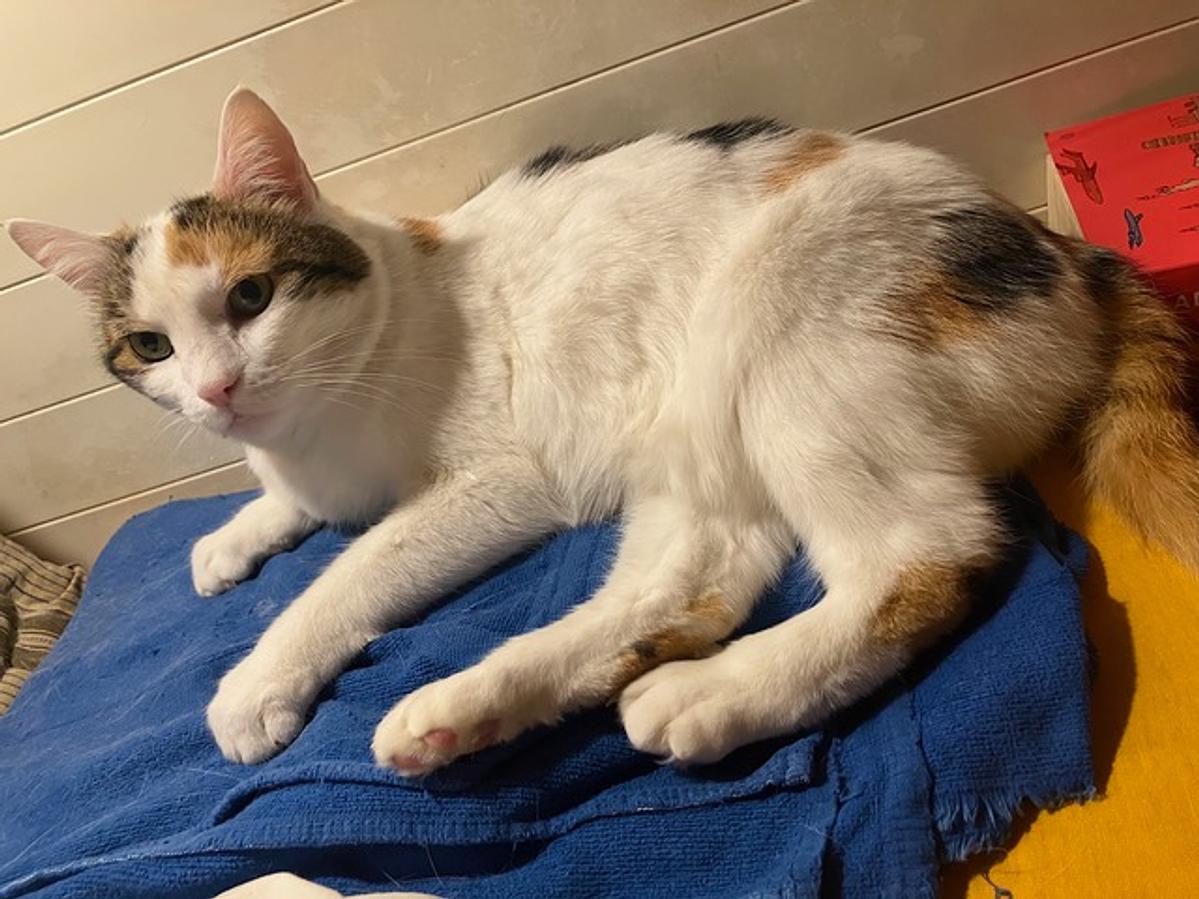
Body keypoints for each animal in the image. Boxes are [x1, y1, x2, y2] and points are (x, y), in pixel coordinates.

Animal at [9, 89, 1199, 779]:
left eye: (250, 296)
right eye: (151, 347)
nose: (218, 389)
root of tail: (1059, 251)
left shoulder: (496, 481)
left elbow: (353, 569)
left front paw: (257, 679)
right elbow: (296, 509)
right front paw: (231, 536)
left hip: (775, 322)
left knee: (922, 555)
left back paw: (706, 693)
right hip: (689, 439)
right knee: (693, 580)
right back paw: (467, 708)